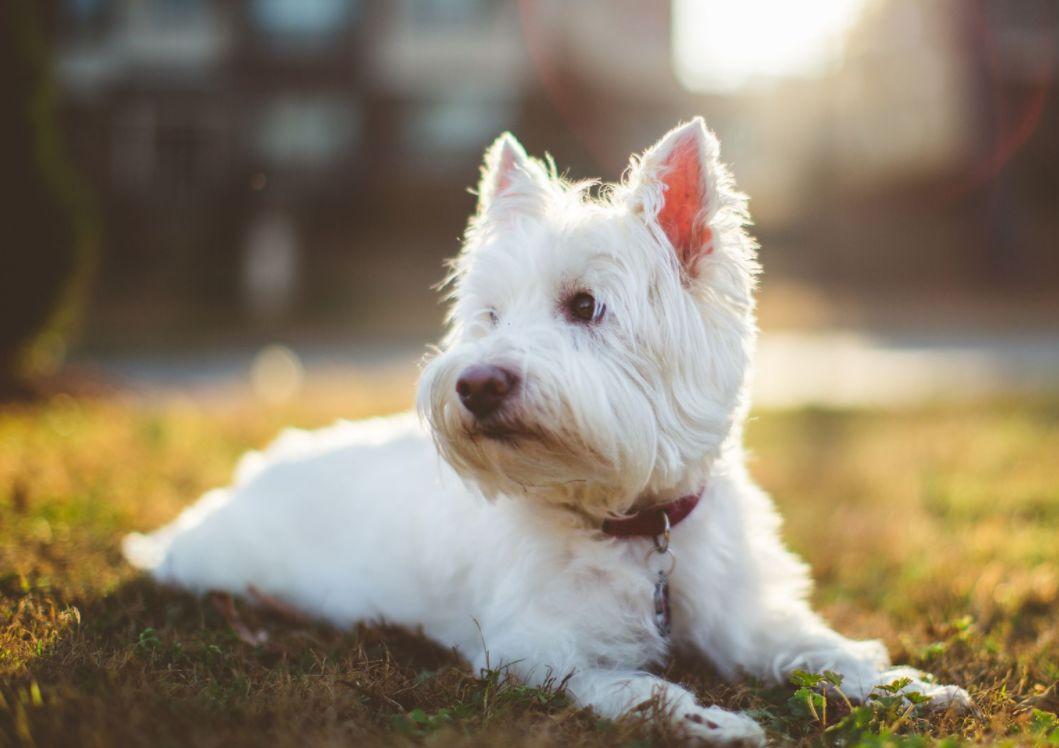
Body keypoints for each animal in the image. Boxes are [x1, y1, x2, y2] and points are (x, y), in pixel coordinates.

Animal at [123, 119, 970, 741]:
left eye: (584, 305)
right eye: (490, 315)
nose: (474, 383)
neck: (634, 525)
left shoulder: (746, 616)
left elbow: (818, 647)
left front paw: (905, 685)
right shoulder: (534, 650)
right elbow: (632, 685)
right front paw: (710, 720)